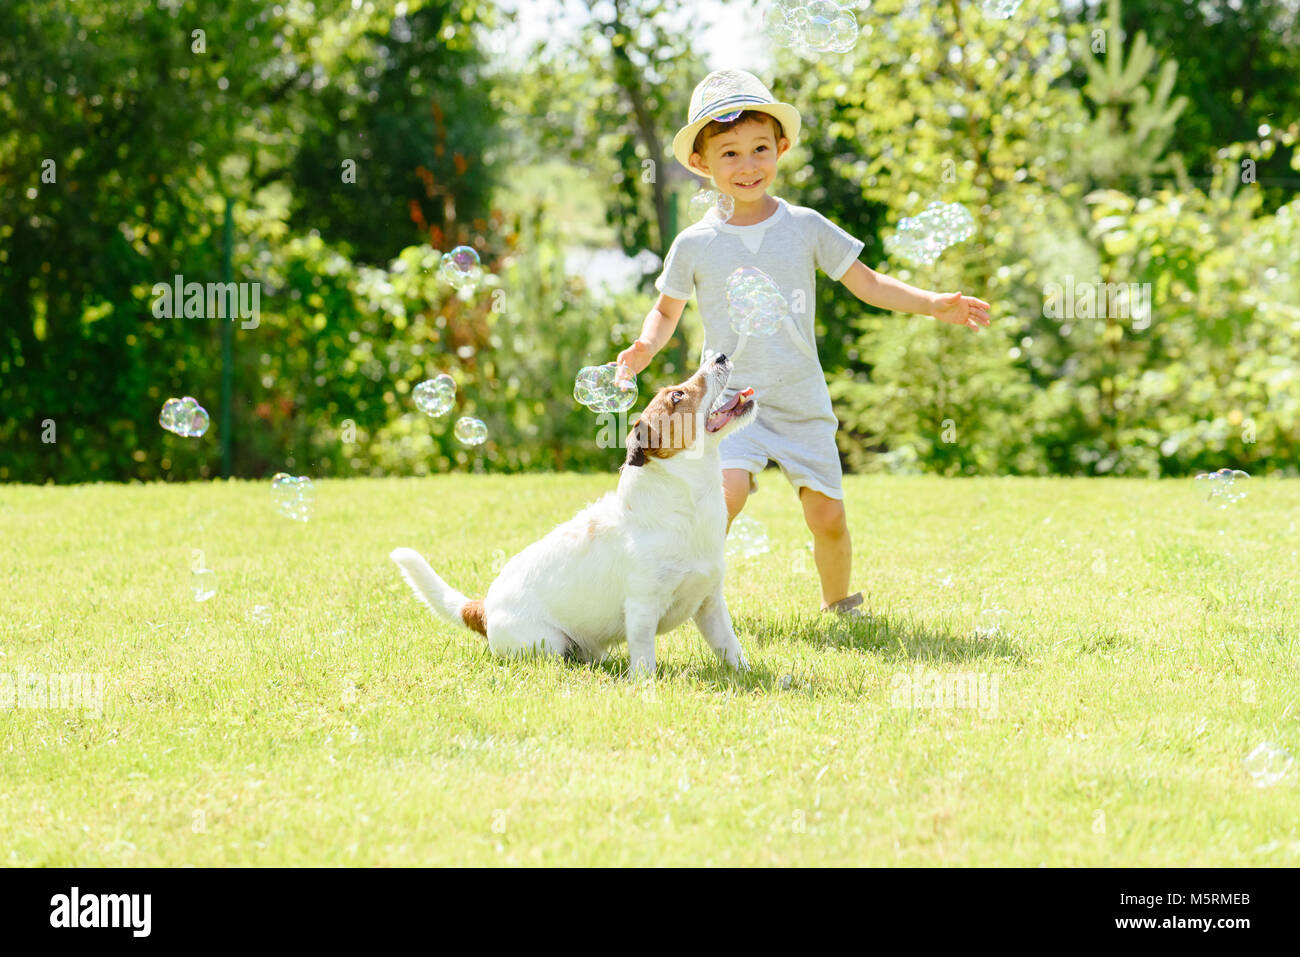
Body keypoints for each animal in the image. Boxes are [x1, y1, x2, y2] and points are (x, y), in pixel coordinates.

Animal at [395, 356, 759, 676]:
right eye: (677, 395)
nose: (721, 356)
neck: (686, 503)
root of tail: (483, 608)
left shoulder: (710, 605)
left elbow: (730, 646)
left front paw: (745, 675)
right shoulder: (642, 609)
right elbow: (644, 658)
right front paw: (646, 687)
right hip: (548, 643)